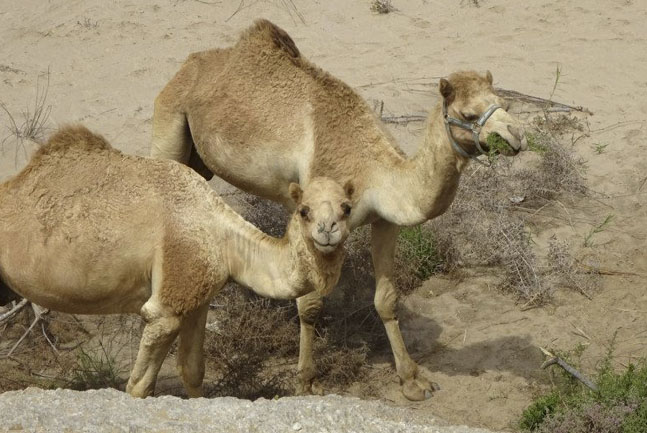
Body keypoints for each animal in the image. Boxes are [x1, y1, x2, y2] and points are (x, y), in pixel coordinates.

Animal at [0, 125, 354, 398]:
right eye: (304, 211)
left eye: (346, 207)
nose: (327, 230)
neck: (223, 237)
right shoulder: (166, 306)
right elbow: (139, 386)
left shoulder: (198, 299)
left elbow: (193, 371)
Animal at [150, 19, 528, 401]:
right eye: (468, 114)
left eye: (504, 102)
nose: (516, 136)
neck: (372, 171)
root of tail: (190, 64)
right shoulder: (313, 216)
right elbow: (310, 305)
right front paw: (306, 382)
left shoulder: (385, 220)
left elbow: (386, 299)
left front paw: (412, 380)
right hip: (169, 123)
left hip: (200, 159)